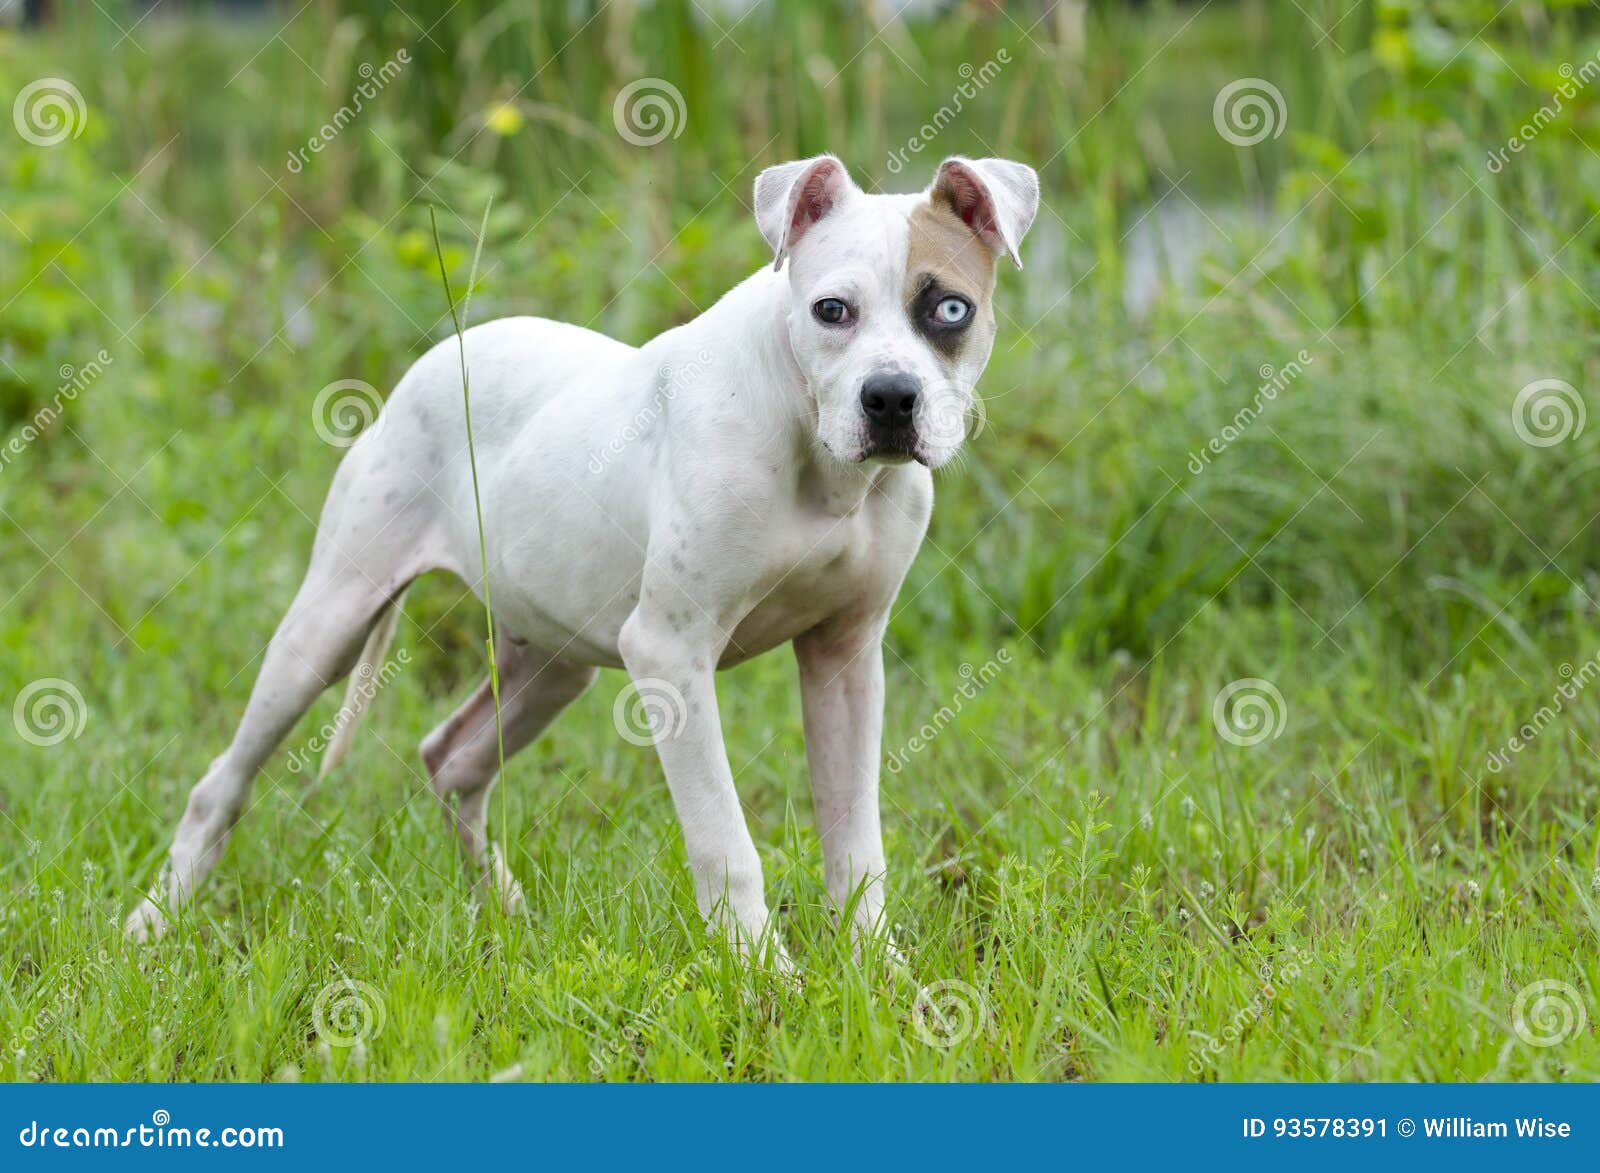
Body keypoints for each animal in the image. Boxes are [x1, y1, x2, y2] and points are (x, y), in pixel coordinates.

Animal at [131, 153, 1043, 960]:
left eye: (950, 311)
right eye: (831, 310)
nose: (890, 398)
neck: (817, 454)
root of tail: (444, 351)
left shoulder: (845, 656)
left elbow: (857, 844)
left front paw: (877, 975)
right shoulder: (671, 654)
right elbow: (726, 843)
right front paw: (762, 977)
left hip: (552, 661)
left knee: (451, 761)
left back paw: (504, 912)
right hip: (327, 626)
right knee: (224, 780)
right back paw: (153, 924)